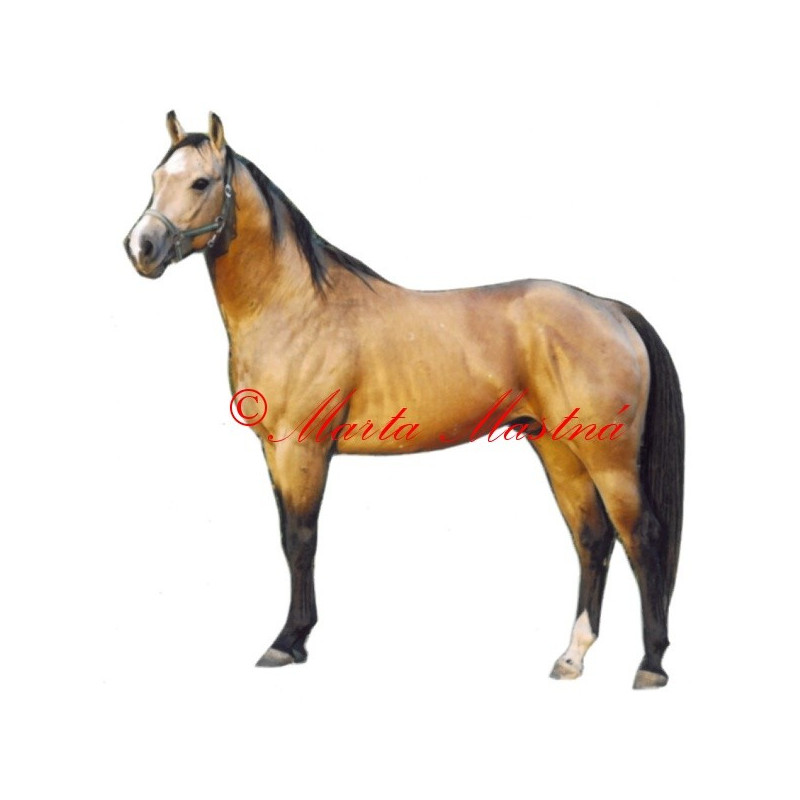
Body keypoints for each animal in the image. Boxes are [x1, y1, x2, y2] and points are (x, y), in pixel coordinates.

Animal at [124, 112, 684, 689]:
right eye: (155, 178)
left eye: (201, 182)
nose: (142, 248)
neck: (296, 305)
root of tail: (609, 308)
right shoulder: (273, 450)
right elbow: (287, 538)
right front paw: (294, 639)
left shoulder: (302, 448)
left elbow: (301, 540)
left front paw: (288, 642)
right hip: (558, 449)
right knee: (592, 538)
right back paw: (572, 656)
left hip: (608, 457)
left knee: (642, 537)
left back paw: (651, 664)